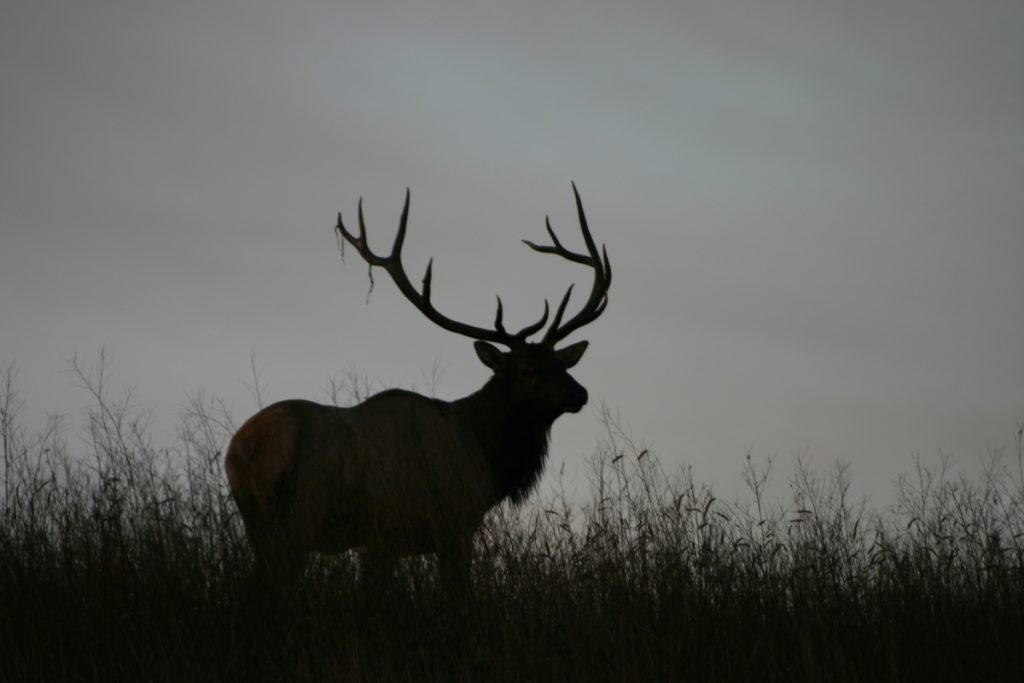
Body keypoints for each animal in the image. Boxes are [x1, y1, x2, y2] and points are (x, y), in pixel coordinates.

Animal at [224, 184, 611, 600]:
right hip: (300, 516)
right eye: (526, 371)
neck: (486, 454)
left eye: (563, 364)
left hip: (258, 525)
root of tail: (246, 447)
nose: (579, 393)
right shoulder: (440, 525)